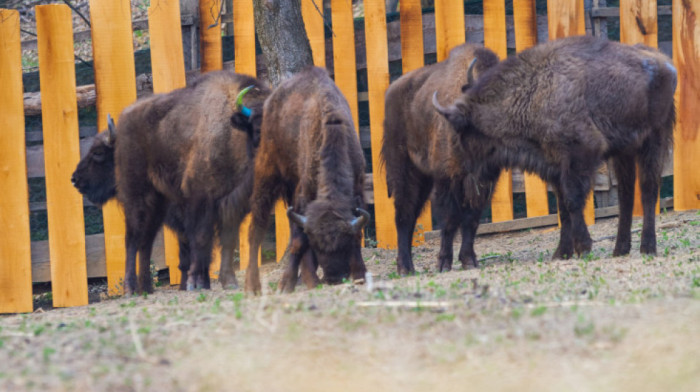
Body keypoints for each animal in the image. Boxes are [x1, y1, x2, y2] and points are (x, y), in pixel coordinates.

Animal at [71, 69, 268, 294]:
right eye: (97, 152)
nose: (75, 179)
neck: (232, 132)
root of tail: (124, 120)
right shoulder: (199, 200)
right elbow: (199, 241)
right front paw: (194, 283)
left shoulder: (233, 204)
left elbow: (226, 241)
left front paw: (226, 281)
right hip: (137, 198)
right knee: (132, 240)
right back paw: (130, 288)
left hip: (157, 206)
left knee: (145, 242)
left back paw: (146, 288)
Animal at [243, 67, 370, 294]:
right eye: (317, 245)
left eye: (343, 244)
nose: (334, 277)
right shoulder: (304, 194)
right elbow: (298, 242)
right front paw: (286, 284)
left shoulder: (358, 187)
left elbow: (357, 234)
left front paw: (360, 275)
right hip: (266, 172)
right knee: (256, 227)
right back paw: (252, 286)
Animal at [380, 43, 500, 276]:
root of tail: (392, 90)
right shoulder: (448, 180)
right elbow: (451, 221)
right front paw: (443, 263)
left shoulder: (481, 184)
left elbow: (471, 220)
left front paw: (469, 261)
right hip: (403, 170)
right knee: (404, 215)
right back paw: (405, 267)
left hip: (424, 179)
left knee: (411, 215)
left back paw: (409, 266)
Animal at [434, 35, 676, 258]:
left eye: (459, 134)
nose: (459, 173)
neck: (532, 93)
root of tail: (666, 64)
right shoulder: (554, 167)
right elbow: (563, 208)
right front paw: (562, 253)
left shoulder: (580, 155)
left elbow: (572, 201)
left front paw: (583, 247)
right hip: (624, 151)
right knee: (626, 194)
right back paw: (620, 249)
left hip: (654, 139)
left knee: (648, 188)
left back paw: (647, 247)